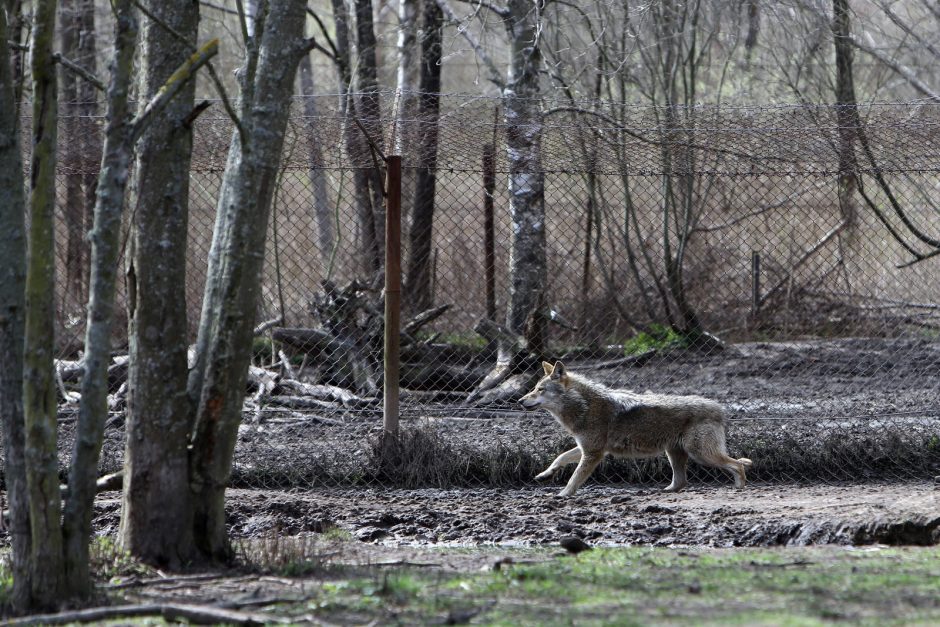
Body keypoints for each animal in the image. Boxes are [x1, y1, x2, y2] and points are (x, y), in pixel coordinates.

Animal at [516, 360, 752, 498]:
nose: (519, 400)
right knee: (681, 481)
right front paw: (545, 474)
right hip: (675, 454)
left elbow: (575, 477)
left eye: (540, 389)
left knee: (737, 464)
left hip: (701, 454)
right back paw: (665, 491)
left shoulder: (593, 453)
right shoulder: (586, 448)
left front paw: (564, 494)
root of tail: (719, 408)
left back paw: (739, 487)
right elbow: (561, 457)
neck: (584, 406)